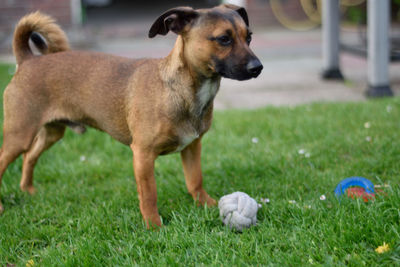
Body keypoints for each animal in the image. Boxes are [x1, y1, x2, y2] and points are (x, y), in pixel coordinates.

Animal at [0, 4, 262, 228]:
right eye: (224, 39)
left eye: (248, 37)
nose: (257, 67)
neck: (179, 88)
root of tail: (27, 61)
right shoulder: (143, 156)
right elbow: (149, 195)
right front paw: (153, 226)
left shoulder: (191, 148)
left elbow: (195, 181)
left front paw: (206, 205)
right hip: (19, 135)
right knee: (8, 159)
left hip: (52, 132)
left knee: (29, 157)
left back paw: (27, 190)